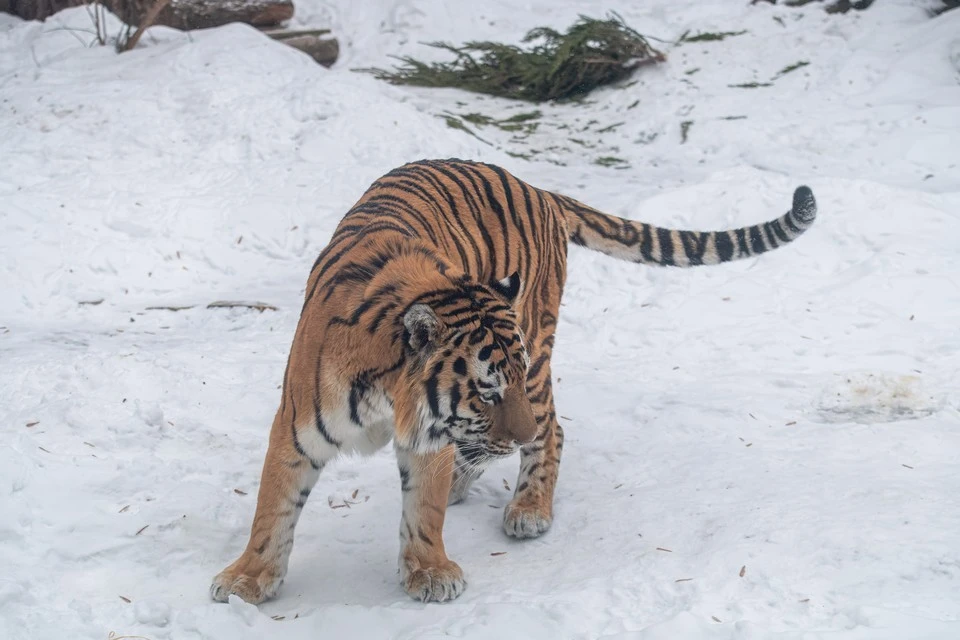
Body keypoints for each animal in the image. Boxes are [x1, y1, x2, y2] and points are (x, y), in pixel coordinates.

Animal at [208, 158, 808, 604]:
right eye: (487, 390)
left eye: (505, 385)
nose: (517, 432)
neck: (387, 394)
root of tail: (536, 187)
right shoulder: (296, 429)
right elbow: (273, 508)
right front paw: (246, 581)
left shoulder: (434, 434)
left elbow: (422, 509)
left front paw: (430, 572)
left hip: (540, 349)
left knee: (555, 430)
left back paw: (528, 509)